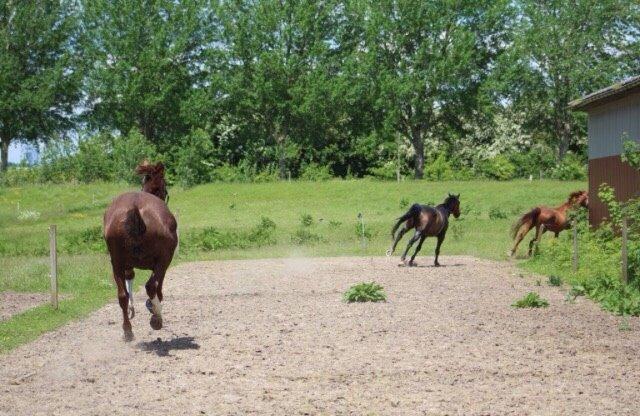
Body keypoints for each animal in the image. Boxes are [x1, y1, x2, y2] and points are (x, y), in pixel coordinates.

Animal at [103, 161, 178, 340]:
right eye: (164, 187)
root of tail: (135, 208)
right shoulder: (163, 262)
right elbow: (158, 287)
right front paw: (152, 306)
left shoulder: (126, 264)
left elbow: (129, 280)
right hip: (164, 259)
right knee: (151, 286)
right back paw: (157, 318)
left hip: (116, 261)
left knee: (122, 295)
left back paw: (127, 331)